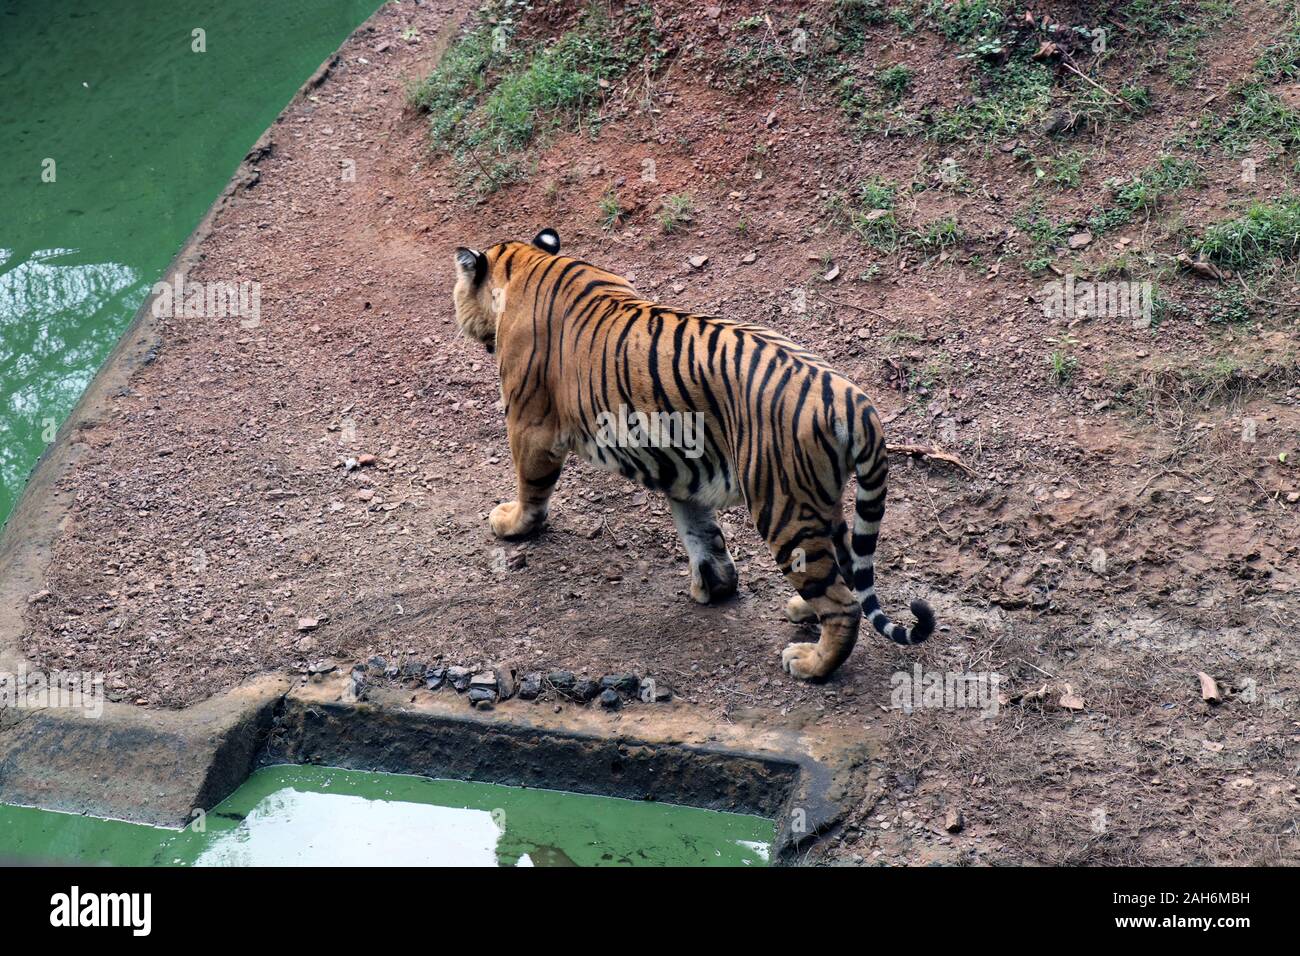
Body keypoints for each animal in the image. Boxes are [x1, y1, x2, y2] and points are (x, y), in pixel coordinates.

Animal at [452, 230, 930, 681]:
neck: (527, 263)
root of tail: (855, 401)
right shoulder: (682, 467)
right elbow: (701, 531)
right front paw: (715, 586)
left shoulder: (529, 424)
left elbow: (530, 485)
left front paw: (511, 523)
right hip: (820, 500)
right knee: (847, 572)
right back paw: (801, 609)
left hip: (783, 507)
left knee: (843, 604)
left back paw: (811, 663)